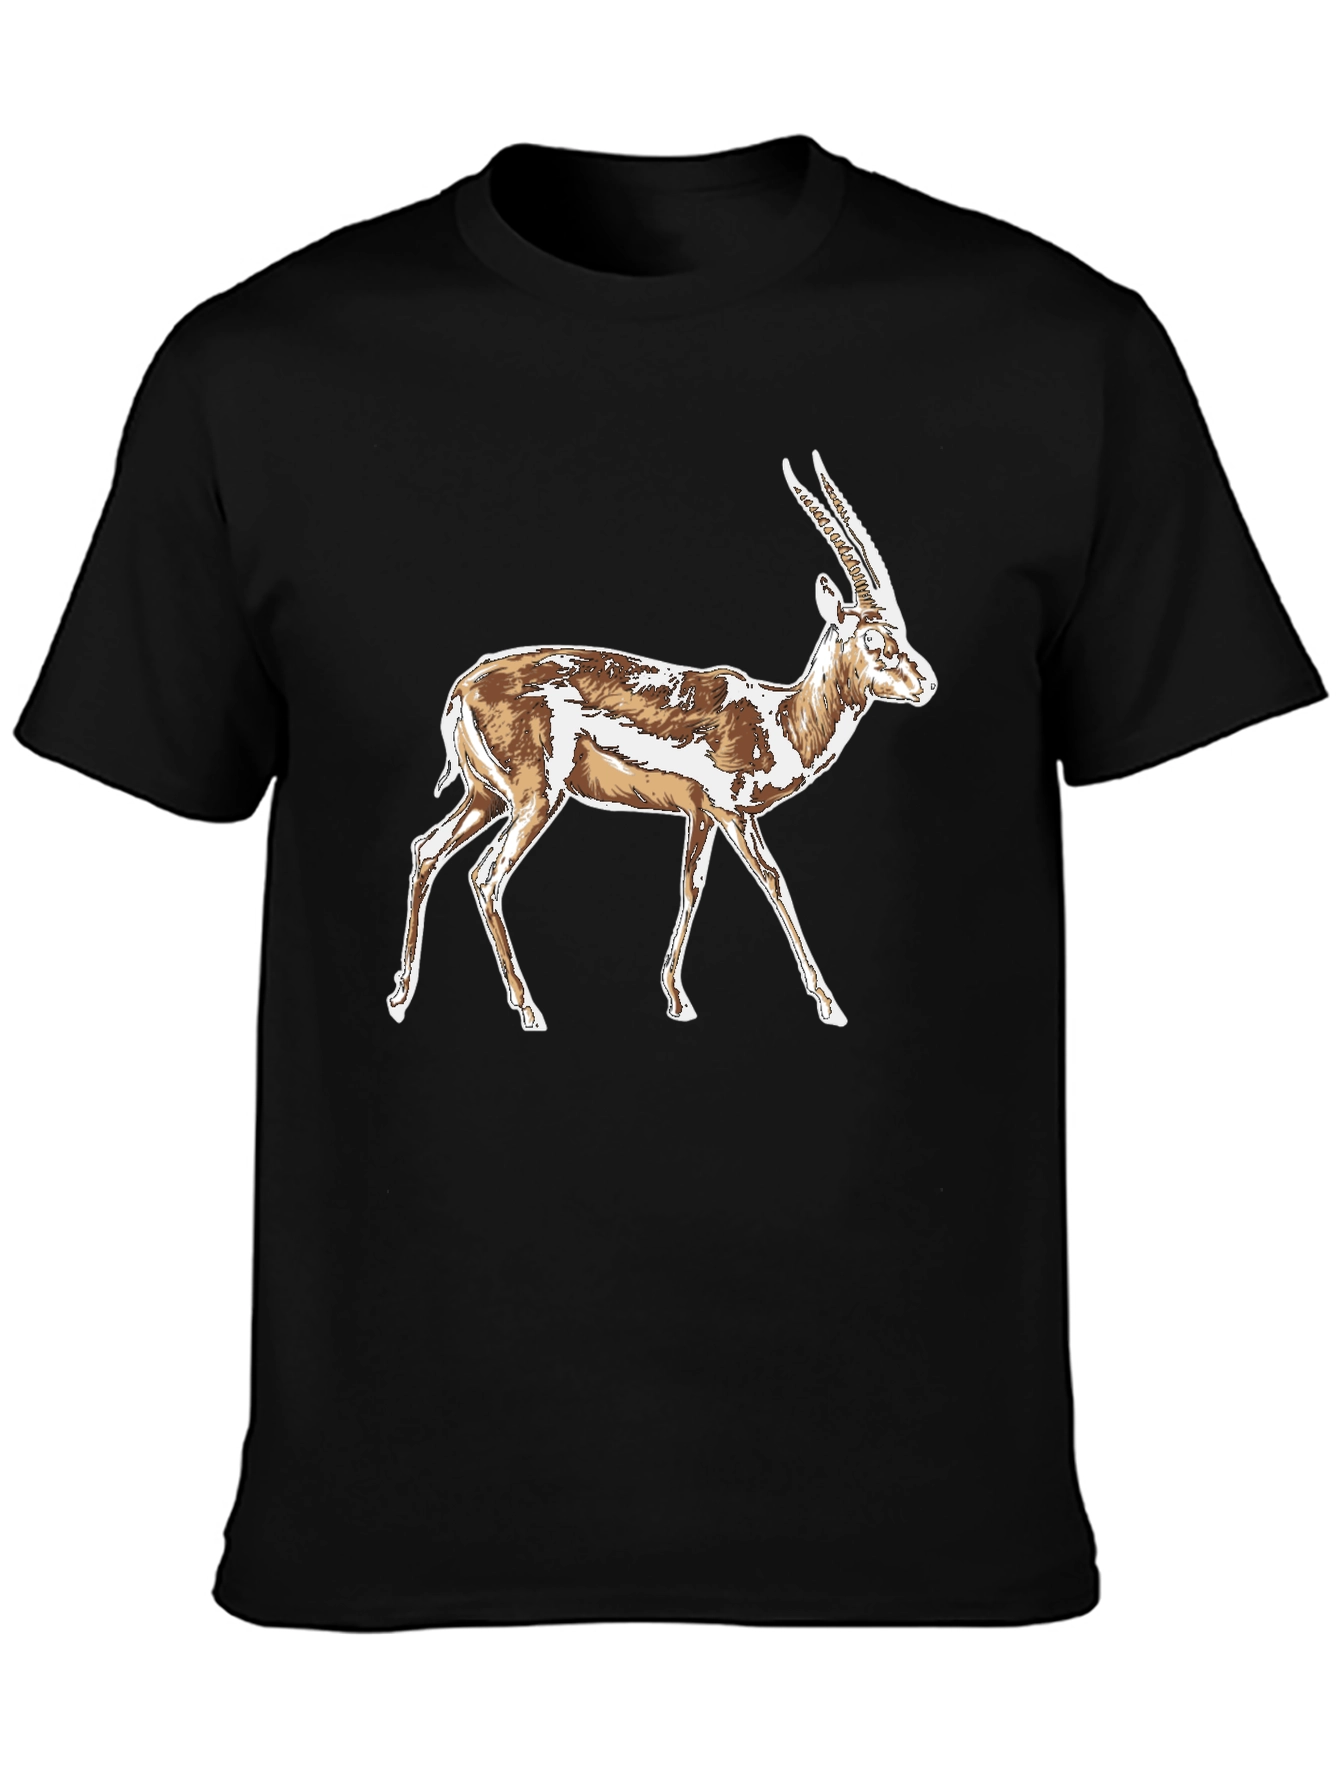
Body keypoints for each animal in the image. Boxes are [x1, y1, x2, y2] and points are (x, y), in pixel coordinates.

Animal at [387, 452, 936, 1032]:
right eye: (873, 638)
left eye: (901, 630)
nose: (927, 683)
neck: (777, 719)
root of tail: (461, 687)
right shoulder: (730, 812)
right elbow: (772, 880)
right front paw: (829, 1005)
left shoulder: (700, 817)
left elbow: (690, 886)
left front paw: (676, 998)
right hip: (534, 799)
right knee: (486, 876)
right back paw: (529, 1009)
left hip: (485, 797)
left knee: (426, 849)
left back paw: (401, 997)